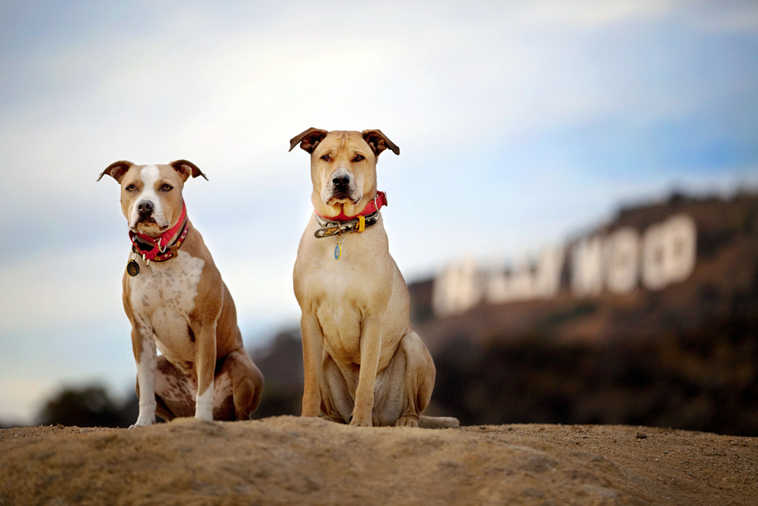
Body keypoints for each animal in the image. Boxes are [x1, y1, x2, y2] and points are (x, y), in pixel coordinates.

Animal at [98, 160, 264, 424]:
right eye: (131, 187)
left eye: (166, 187)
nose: (145, 206)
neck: (160, 254)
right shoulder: (140, 330)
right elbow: (147, 387)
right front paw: (142, 423)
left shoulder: (204, 326)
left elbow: (205, 384)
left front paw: (203, 420)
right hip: (158, 369)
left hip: (239, 363)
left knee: (240, 412)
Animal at [290, 127, 458, 426]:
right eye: (326, 156)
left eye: (358, 157)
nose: (341, 180)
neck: (341, 230)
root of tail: (383, 418)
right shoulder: (308, 316)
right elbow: (310, 384)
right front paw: (308, 418)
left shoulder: (372, 318)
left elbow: (366, 379)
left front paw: (360, 421)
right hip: (326, 357)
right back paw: (331, 419)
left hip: (413, 346)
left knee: (412, 406)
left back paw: (404, 420)